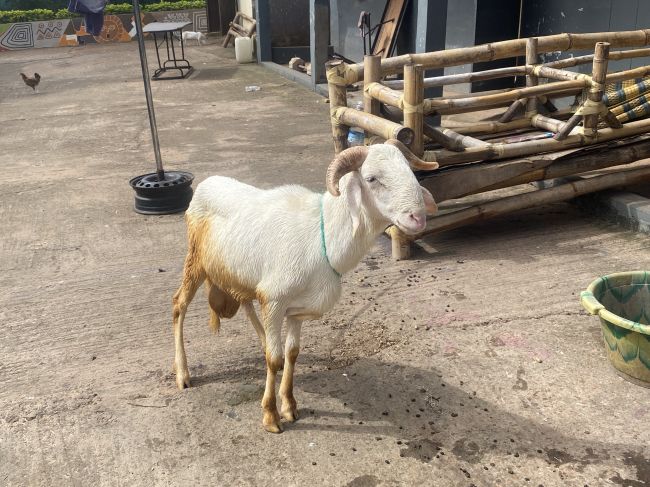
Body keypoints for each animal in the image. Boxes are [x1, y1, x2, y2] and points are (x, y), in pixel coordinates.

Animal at [172, 140, 439, 433]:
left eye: (410, 170)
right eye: (371, 178)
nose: (418, 217)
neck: (324, 236)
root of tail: (207, 183)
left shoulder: (296, 310)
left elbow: (291, 354)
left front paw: (289, 406)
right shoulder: (274, 300)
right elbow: (274, 359)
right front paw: (271, 416)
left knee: (247, 304)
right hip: (195, 261)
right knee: (179, 306)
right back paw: (183, 373)